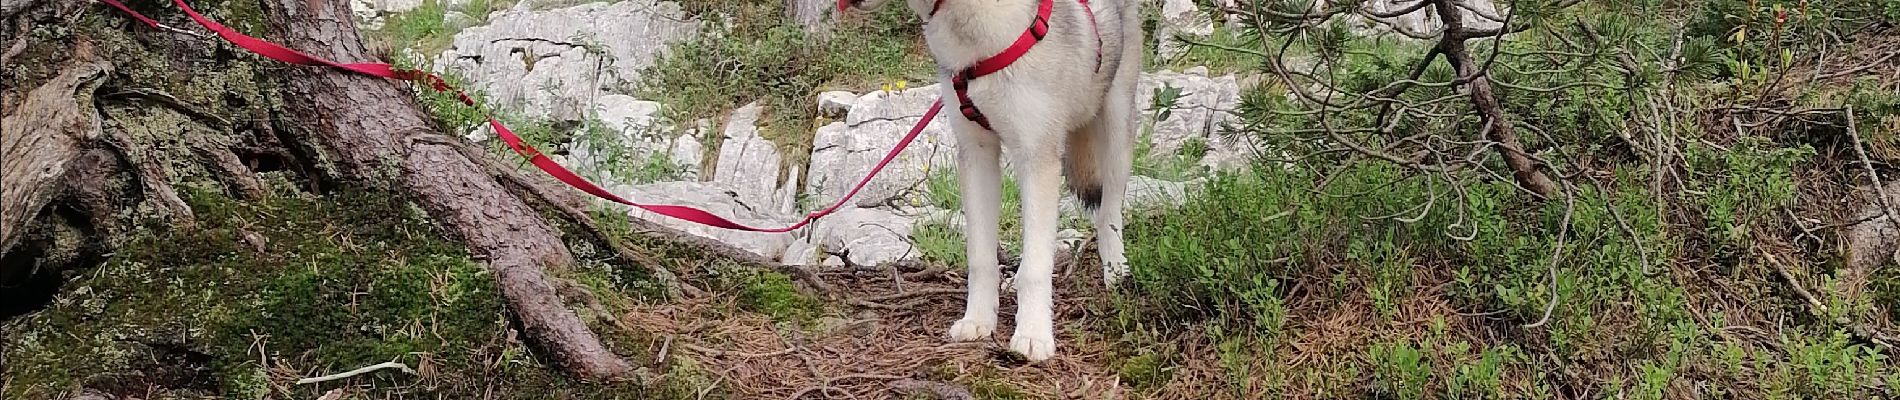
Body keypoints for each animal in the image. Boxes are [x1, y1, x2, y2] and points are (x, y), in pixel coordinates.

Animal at [843, 0, 1140, 360]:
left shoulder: (1036, 158)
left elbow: (1037, 266)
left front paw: (1033, 334)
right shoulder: (977, 154)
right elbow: (981, 258)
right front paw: (978, 320)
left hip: (1116, 131)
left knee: (1109, 211)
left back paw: (1116, 270)